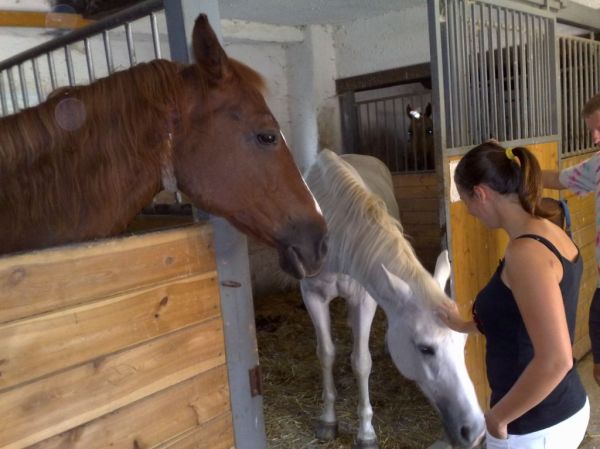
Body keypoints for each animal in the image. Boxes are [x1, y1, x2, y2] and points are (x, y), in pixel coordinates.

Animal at [302, 150, 486, 448]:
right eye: (425, 348)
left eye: (463, 343)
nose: (476, 431)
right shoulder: (312, 295)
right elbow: (326, 354)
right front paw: (328, 420)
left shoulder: (364, 298)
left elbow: (361, 362)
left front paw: (366, 433)